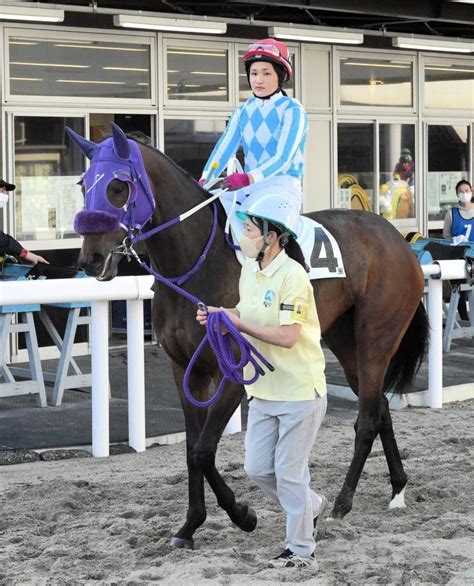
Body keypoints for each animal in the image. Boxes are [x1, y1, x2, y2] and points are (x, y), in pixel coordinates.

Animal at [67, 123, 430, 548]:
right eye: (83, 183)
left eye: (118, 186)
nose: (90, 259)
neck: (196, 263)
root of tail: (398, 239)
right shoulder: (185, 369)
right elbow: (191, 449)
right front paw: (189, 526)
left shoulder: (235, 372)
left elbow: (204, 449)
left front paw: (243, 515)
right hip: (345, 340)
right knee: (380, 407)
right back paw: (398, 488)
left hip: (376, 336)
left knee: (368, 418)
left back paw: (342, 502)